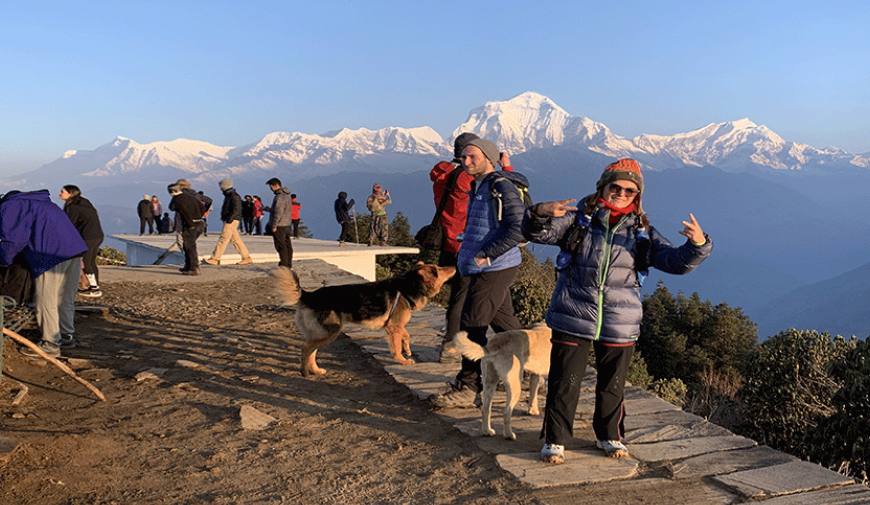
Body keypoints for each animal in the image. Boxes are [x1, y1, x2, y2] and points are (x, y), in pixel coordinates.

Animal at [274, 262, 456, 376]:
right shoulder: (393, 327)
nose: (454, 265)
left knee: (312, 350)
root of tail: (309, 295)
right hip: (330, 331)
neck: (408, 287)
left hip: (322, 332)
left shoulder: (394, 326)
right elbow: (396, 347)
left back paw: (316, 370)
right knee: (306, 349)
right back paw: (305, 372)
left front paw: (407, 348)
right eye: (438, 269)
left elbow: (406, 335)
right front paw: (402, 360)